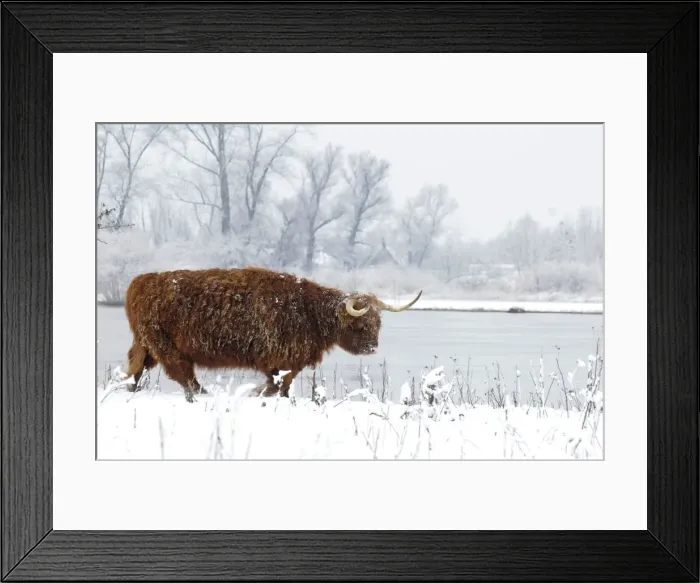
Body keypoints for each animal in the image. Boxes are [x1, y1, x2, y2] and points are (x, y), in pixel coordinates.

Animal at [123, 266, 422, 402]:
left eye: (378, 322)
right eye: (359, 325)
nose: (372, 347)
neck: (310, 312)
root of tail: (142, 280)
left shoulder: (288, 360)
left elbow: (283, 385)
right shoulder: (279, 356)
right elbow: (279, 383)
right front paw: (260, 393)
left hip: (147, 343)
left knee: (136, 366)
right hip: (164, 344)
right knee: (182, 374)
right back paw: (202, 393)